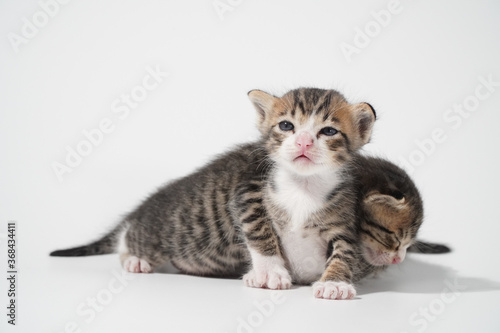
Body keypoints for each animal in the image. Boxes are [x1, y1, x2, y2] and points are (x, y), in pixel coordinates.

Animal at [51, 86, 376, 298]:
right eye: (286, 126)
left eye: (328, 131)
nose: (304, 142)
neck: (303, 185)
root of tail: (145, 205)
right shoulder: (247, 192)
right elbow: (260, 233)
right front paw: (268, 272)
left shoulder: (344, 219)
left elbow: (345, 251)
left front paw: (335, 283)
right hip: (155, 235)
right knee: (127, 238)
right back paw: (135, 259)